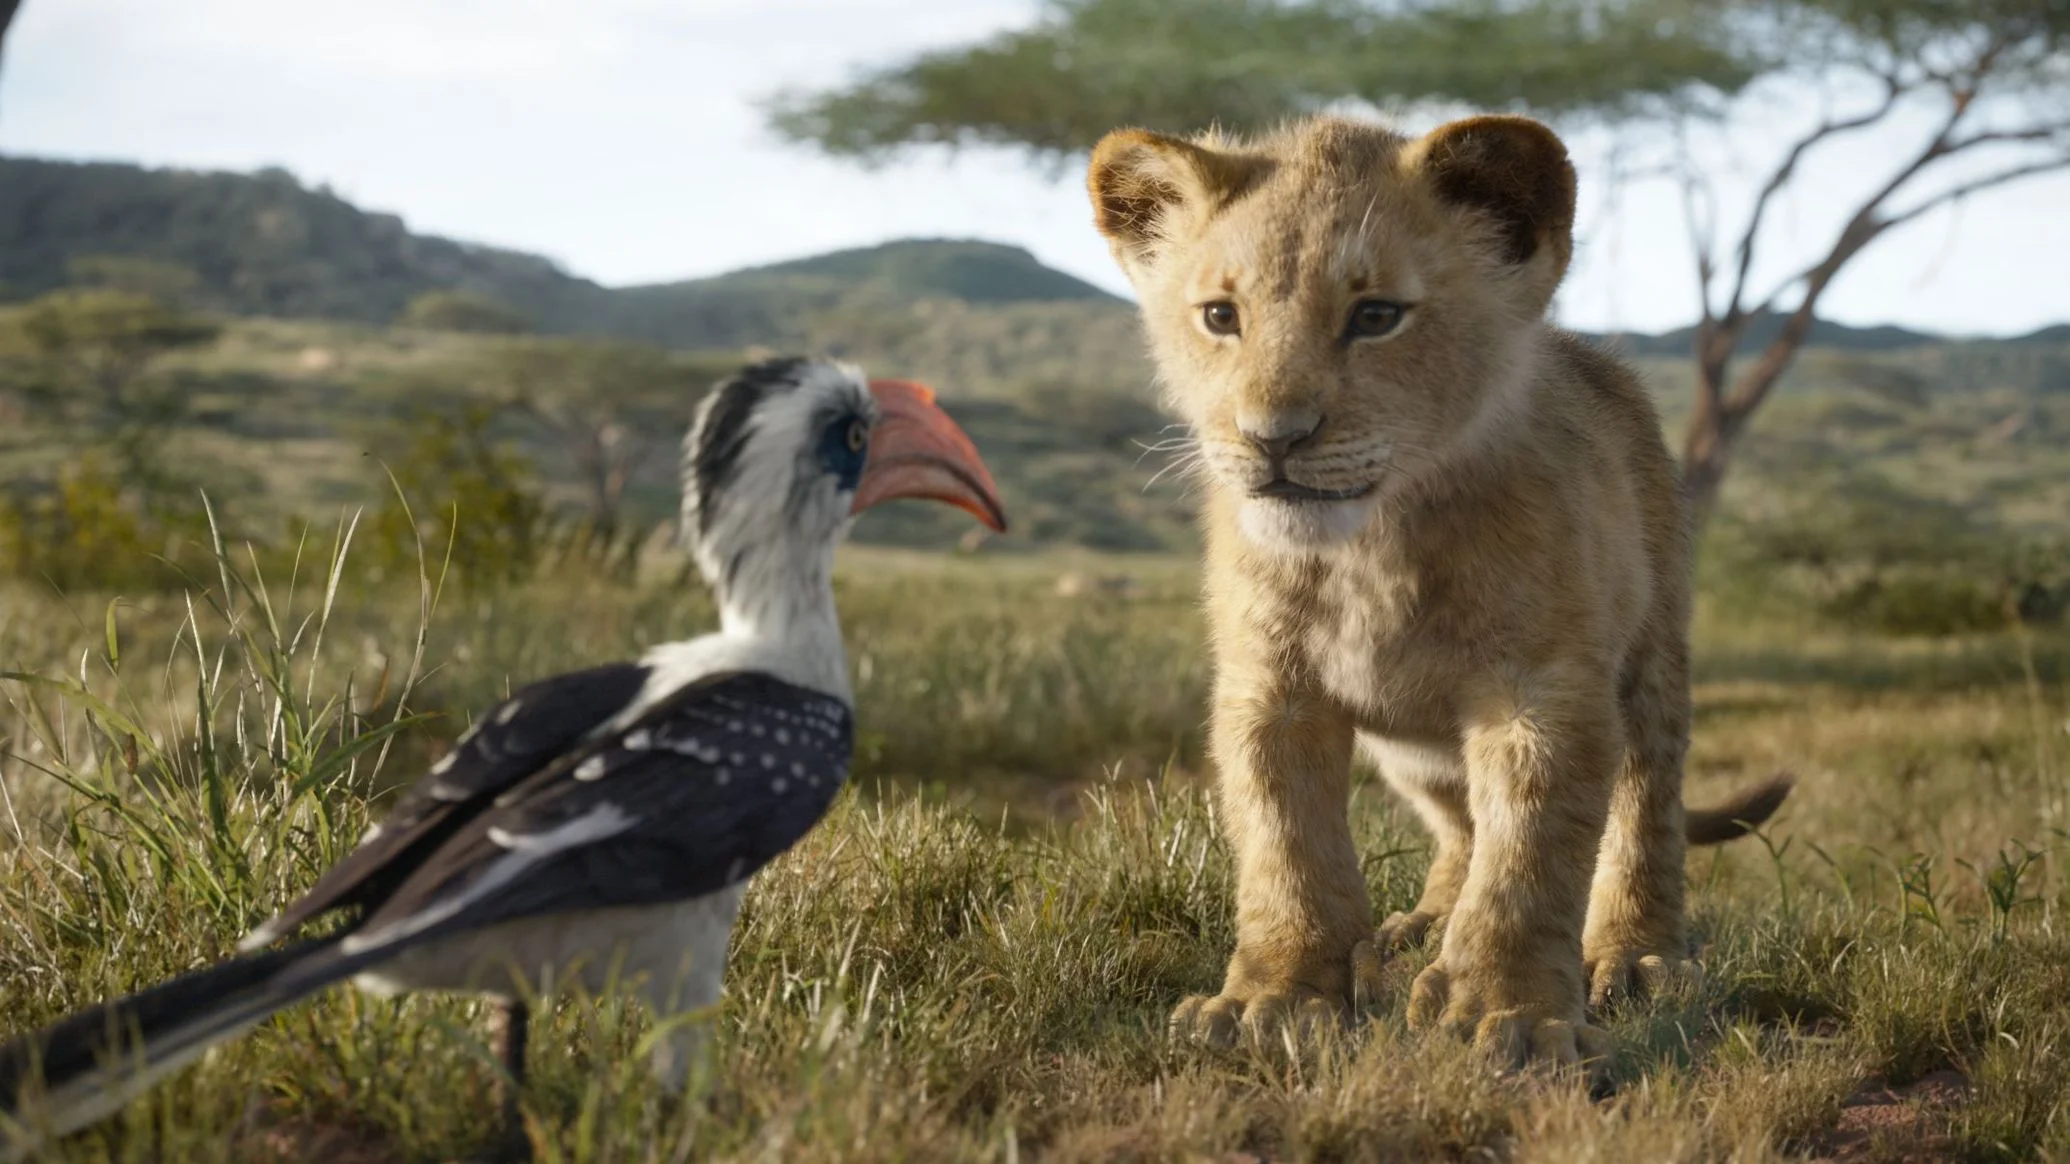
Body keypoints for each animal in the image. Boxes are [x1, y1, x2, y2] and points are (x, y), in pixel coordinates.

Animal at [1084, 113, 1792, 1075]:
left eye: (1376, 316)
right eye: (1221, 317)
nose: (1274, 439)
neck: (1370, 549)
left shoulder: (1542, 691)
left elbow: (1530, 858)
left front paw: (1511, 1016)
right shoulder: (1269, 690)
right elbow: (1285, 848)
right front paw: (1275, 1000)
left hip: (1652, 660)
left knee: (1645, 807)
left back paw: (1636, 956)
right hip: (1413, 750)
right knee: (1460, 827)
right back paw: (1419, 928)